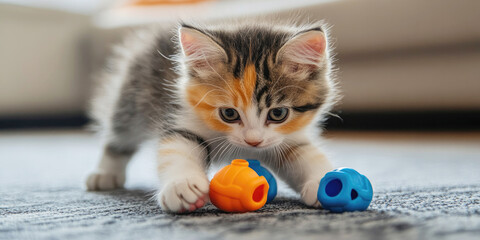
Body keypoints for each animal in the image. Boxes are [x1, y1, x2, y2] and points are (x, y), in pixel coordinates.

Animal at [85, 19, 338, 213]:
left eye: (278, 113)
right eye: (229, 113)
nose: (253, 141)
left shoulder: (287, 138)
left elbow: (305, 155)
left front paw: (322, 182)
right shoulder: (182, 116)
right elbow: (178, 146)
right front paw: (182, 185)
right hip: (133, 96)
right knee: (119, 134)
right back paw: (105, 174)